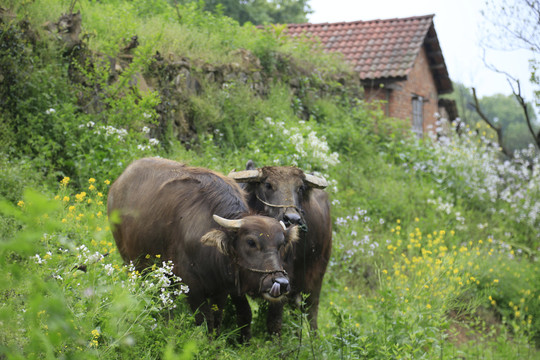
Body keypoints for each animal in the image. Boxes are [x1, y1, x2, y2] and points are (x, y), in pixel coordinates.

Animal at [107, 158, 298, 340]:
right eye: (251, 242)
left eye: (281, 244)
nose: (281, 283)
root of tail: (117, 185)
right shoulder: (192, 287)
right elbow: (205, 321)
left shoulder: (221, 290)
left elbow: (216, 320)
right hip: (132, 264)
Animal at [227, 161, 330, 334]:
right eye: (268, 185)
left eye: (300, 187)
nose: (292, 219)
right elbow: (244, 313)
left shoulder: (284, 279)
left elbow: (274, 321)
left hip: (316, 276)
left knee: (312, 312)